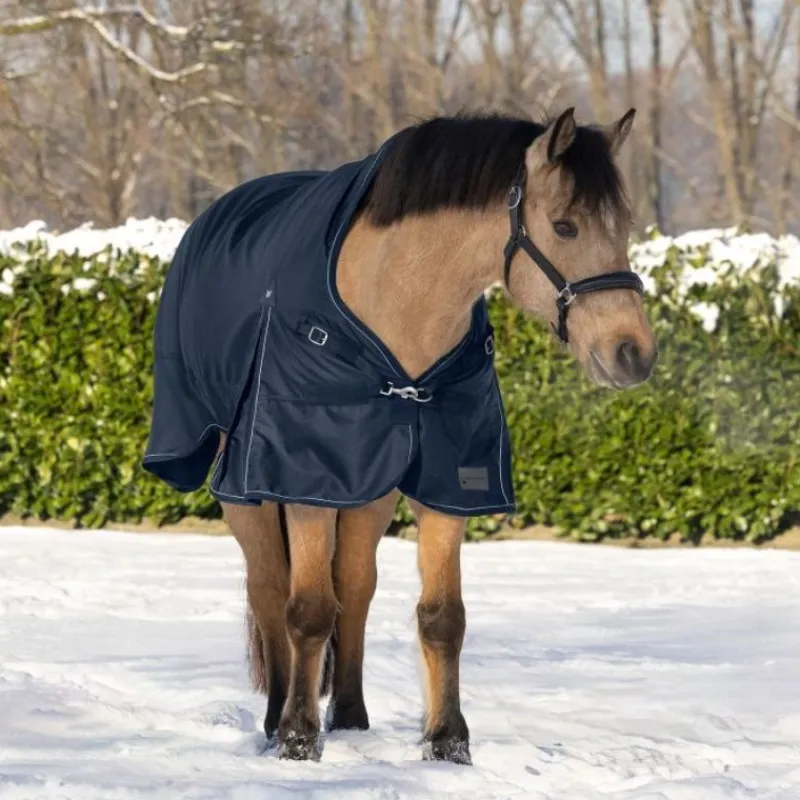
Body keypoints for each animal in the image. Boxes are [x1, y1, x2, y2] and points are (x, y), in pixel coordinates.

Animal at [142, 107, 657, 765]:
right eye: (565, 226)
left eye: (624, 226)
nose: (633, 354)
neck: (398, 305)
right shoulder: (306, 482)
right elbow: (307, 610)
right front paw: (298, 740)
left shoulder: (448, 484)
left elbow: (441, 616)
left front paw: (448, 742)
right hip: (248, 497)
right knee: (270, 590)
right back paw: (275, 717)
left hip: (369, 494)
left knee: (355, 587)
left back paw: (351, 718)